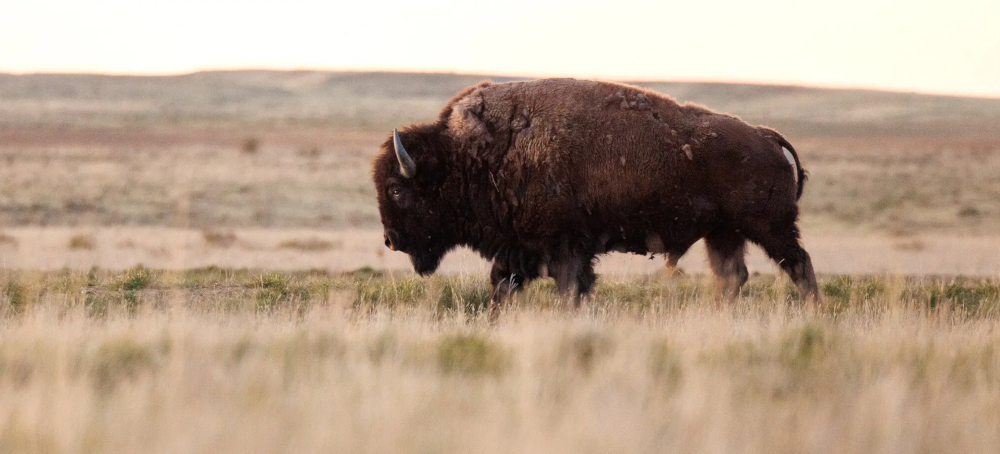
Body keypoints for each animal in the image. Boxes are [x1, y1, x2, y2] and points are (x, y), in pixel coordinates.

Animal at [372, 78, 819, 307]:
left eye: (395, 190)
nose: (391, 240)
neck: (472, 154)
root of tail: (766, 136)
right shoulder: (519, 250)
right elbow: (502, 287)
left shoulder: (564, 247)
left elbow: (569, 288)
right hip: (724, 233)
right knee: (732, 276)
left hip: (769, 228)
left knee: (798, 265)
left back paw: (813, 313)